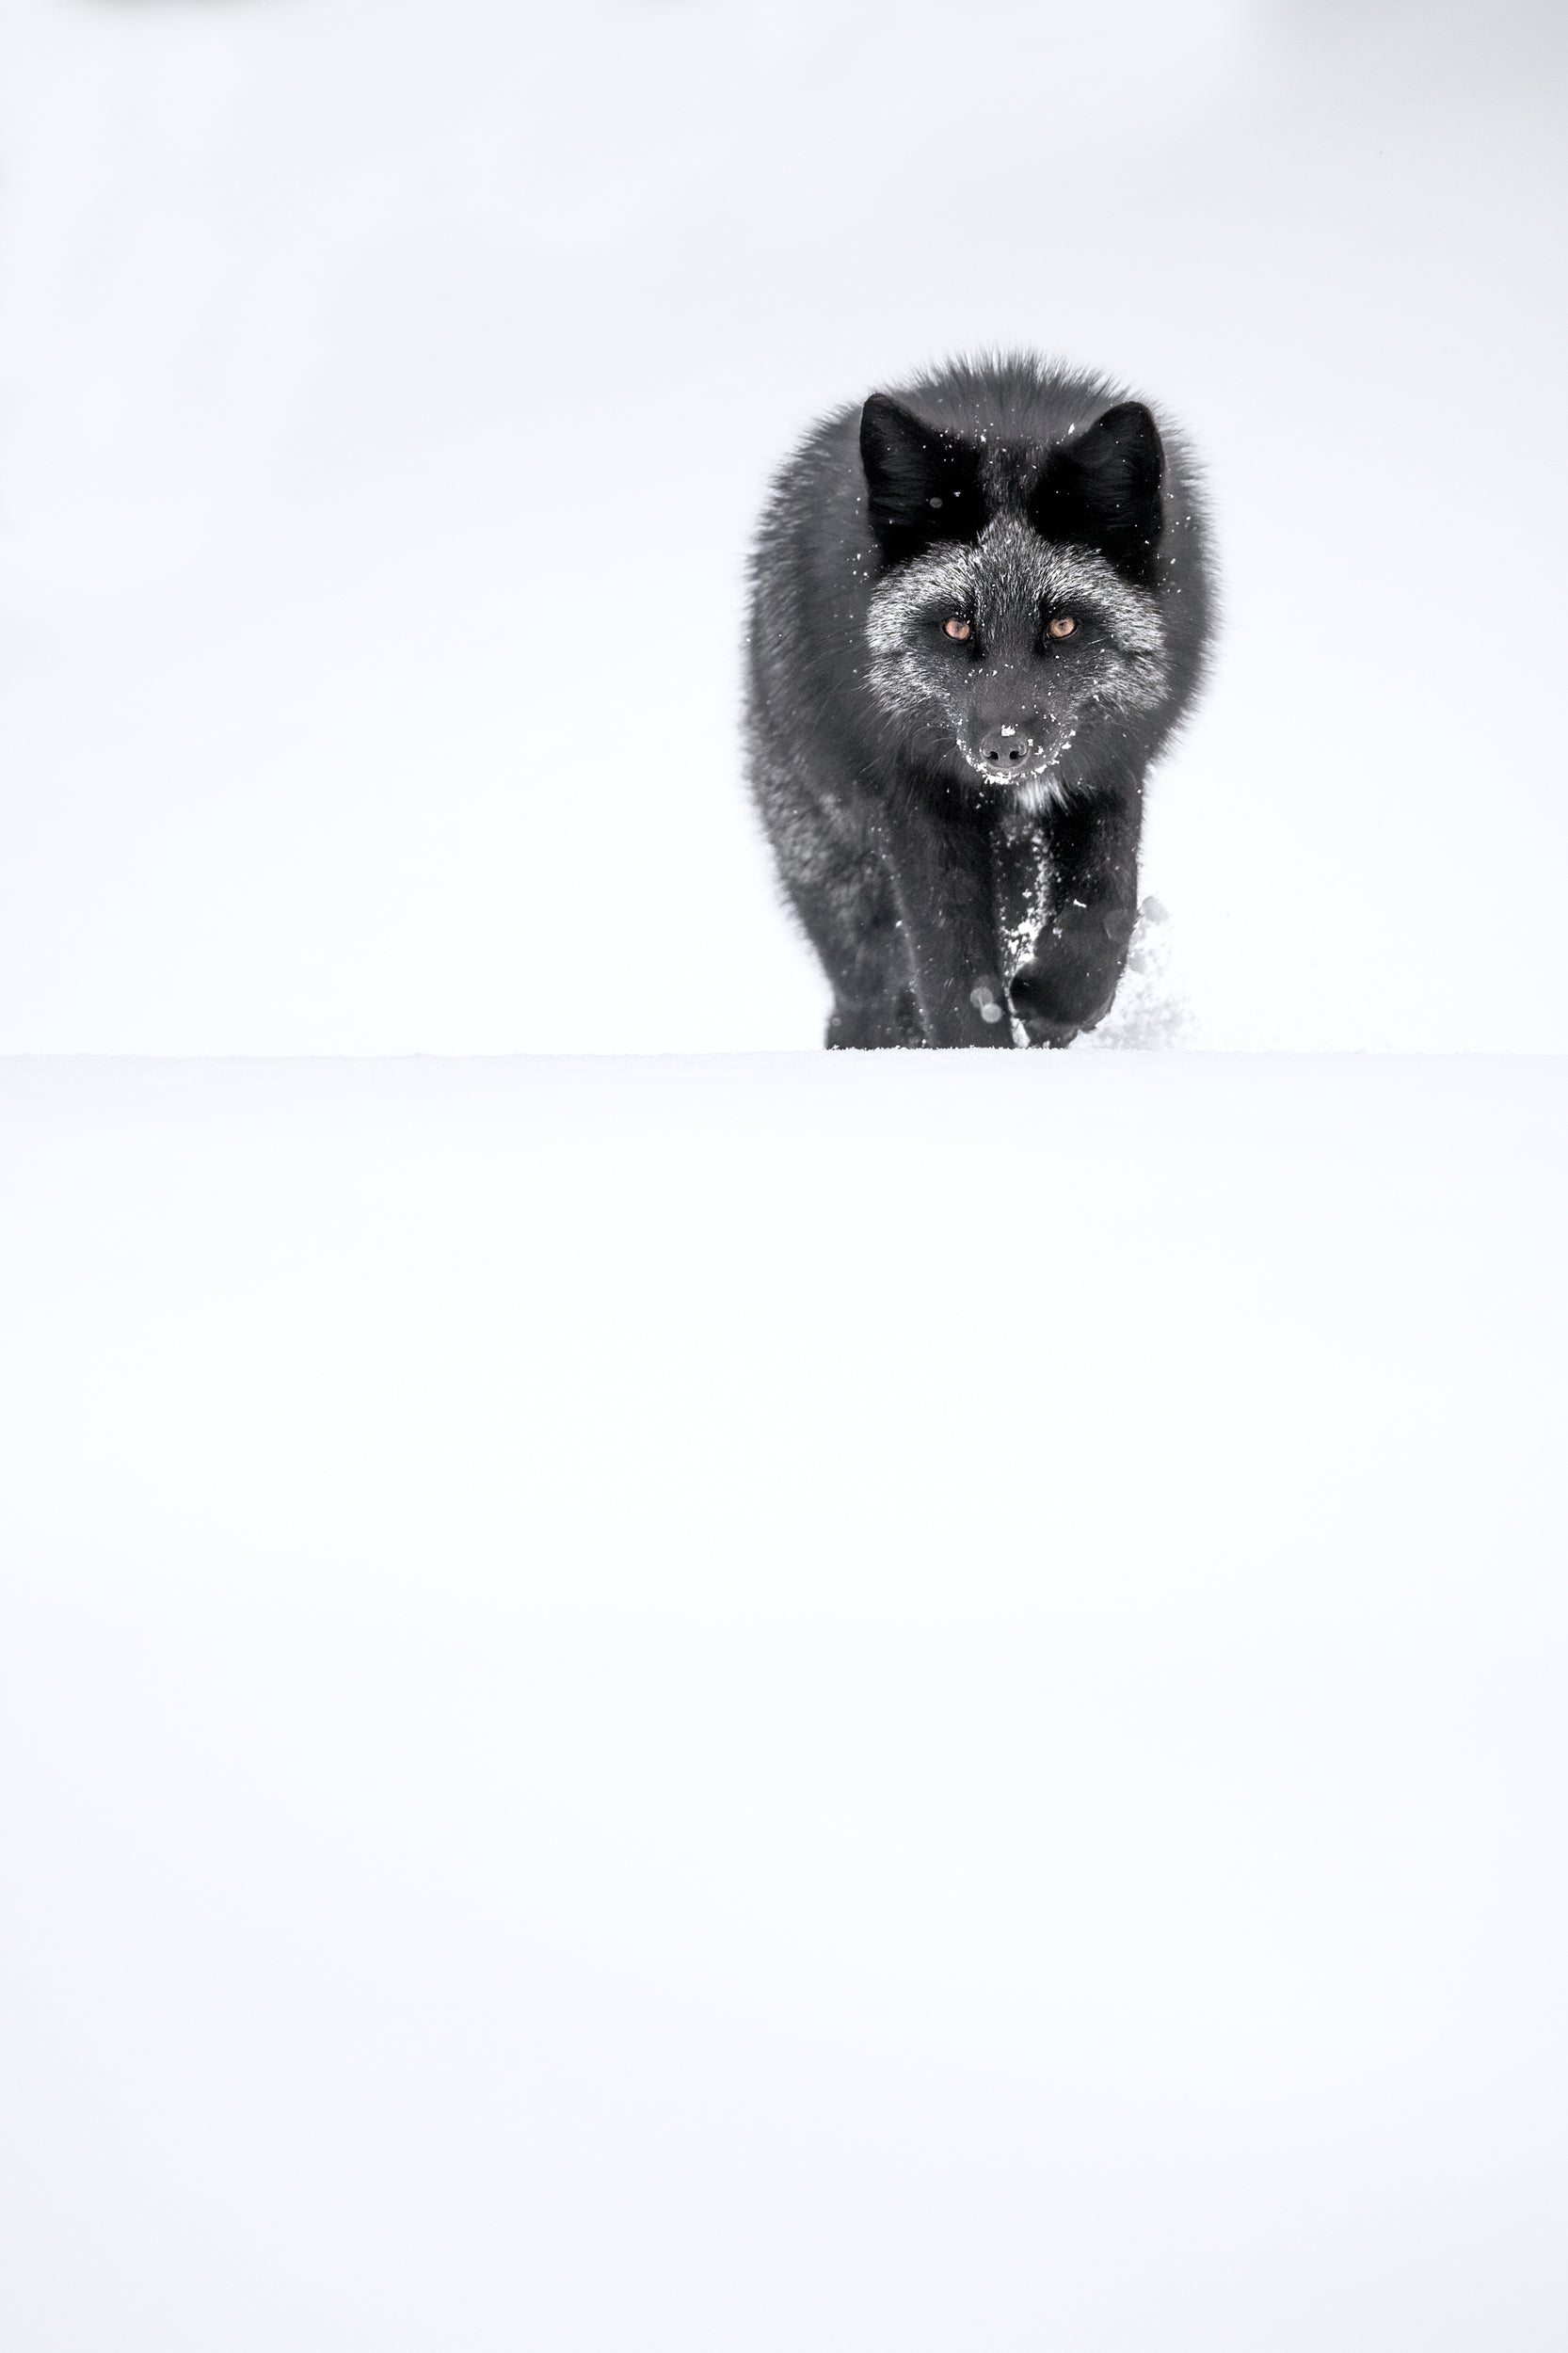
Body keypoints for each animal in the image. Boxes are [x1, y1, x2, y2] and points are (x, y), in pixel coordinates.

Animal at [744, 353, 1213, 1047]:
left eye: (1063, 626)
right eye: (957, 627)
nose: (1005, 748)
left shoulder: (1111, 760)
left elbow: (1107, 900)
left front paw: (1060, 1001)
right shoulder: (916, 789)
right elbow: (951, 957)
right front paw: (977, 1051)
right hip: (836, 864)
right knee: (873, 985)